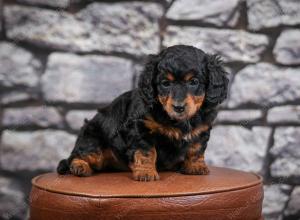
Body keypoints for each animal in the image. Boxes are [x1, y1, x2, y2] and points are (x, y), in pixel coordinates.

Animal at [57, 44, 229, 180]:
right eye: (165, 83)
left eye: (194, 82)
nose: (178, 107)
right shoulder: (140, 128)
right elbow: (146, 152)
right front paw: (146, 173)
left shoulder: (202, 129)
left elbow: (196, 148)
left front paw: (195, 166)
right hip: (93, 142)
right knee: (75, 156)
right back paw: (79, 166)